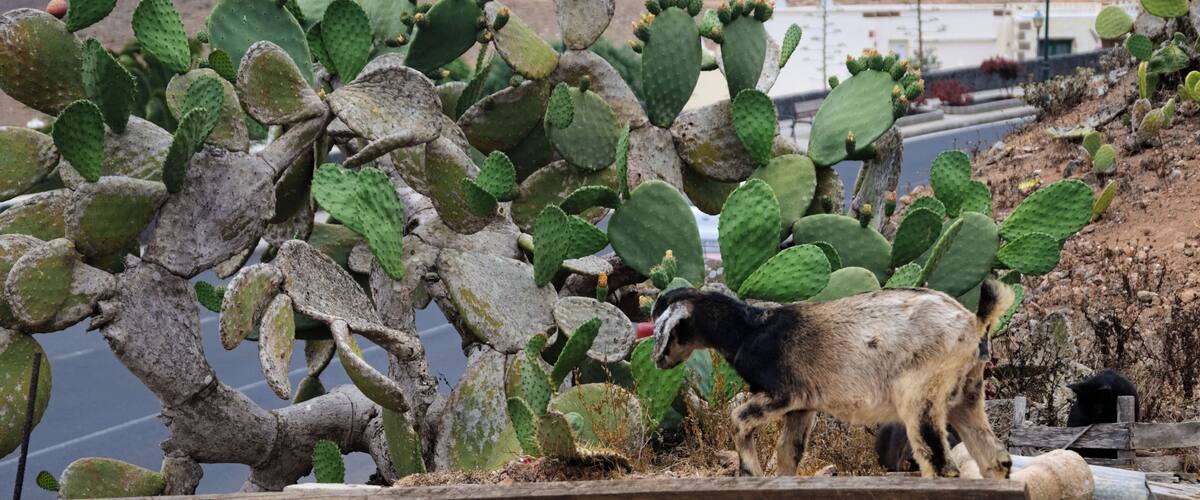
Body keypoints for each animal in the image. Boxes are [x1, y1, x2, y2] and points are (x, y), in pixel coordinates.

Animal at [651, 280, 1014, 479]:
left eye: (665, 329)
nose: (657, 360)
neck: (750, 331)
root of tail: (974, 322)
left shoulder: (783, 393)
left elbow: (738, 417)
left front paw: (750, 471)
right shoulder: (803, 407)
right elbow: (788, 453)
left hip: (920, 394)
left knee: (939, 463)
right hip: (966, 396)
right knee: (995, 460)